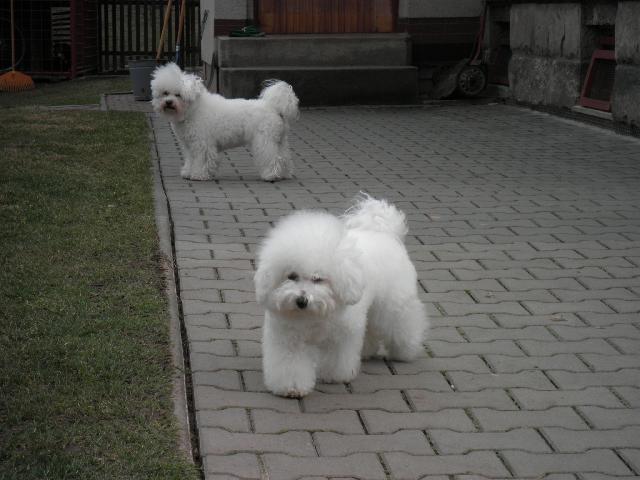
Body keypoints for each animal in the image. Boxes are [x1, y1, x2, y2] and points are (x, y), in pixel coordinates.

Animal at [150, 62, 299, 181]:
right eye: (165, 93)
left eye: (178, 95)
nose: (168, 102)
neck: (194, 110)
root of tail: (274, 108)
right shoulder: (189, 146)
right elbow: (190, 160)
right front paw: (187, 172)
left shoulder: (203, 144)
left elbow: (202, 160)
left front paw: (198, 175)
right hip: (279, 141)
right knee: (284, 158)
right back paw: (284, 174)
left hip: (265, 141)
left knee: (272, 158)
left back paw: (270, 175)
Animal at [254, 195, 429, 398]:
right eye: (291, 276)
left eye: (318, 279)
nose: (301, 300)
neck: (312, 315)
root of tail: (384, 231)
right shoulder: (289, 340)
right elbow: (290, 364)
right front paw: (292, 388)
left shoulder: (341, 335)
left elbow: (337, 357)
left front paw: (334, 376)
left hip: (393, 303)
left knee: (403, 324)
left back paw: (405, 351)